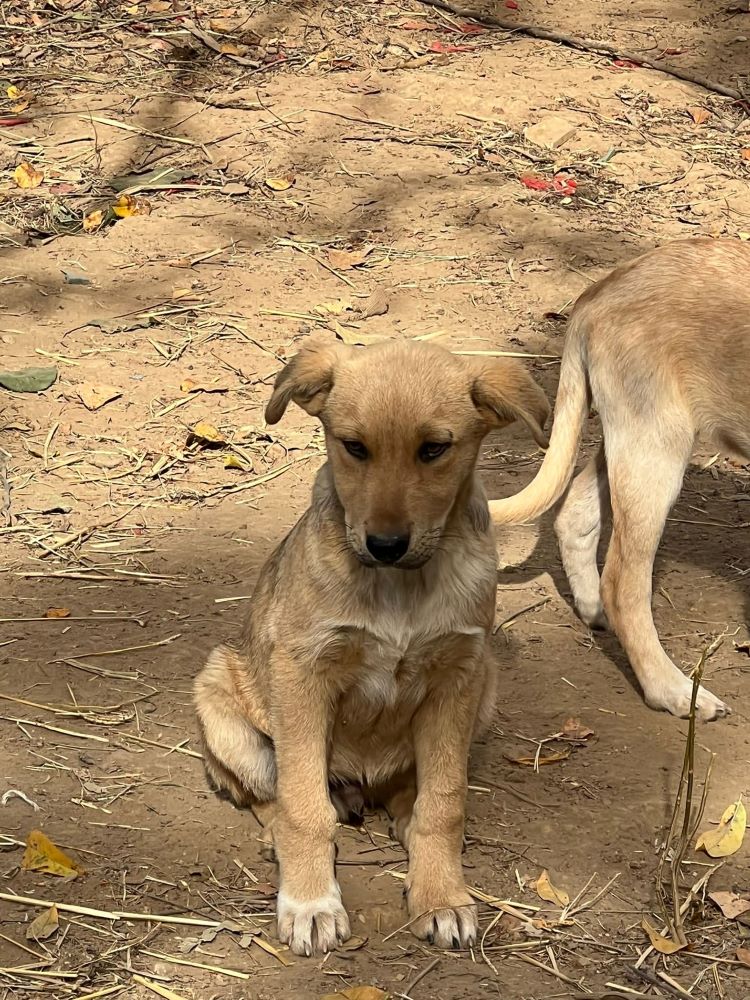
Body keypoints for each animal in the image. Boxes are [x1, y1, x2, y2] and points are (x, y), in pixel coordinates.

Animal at [194, 340, 548, 956]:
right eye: (354, 447)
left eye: (434, 449)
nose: (384, 544)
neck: (400, 586)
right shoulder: (303, 673)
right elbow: (304, 804)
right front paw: (311, 901)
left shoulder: (459, 676)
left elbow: (444, 801)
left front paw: (441, 894)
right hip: (220, 703)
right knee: (272, 794)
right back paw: (281, 836)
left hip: (486, 688)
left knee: (414, 790)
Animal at [490, 238, 748, 724]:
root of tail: (599, 292)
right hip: (656, 447)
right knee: (623, 583)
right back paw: (671, 689)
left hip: (628, 438)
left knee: (574, 512)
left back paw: (592, 609)